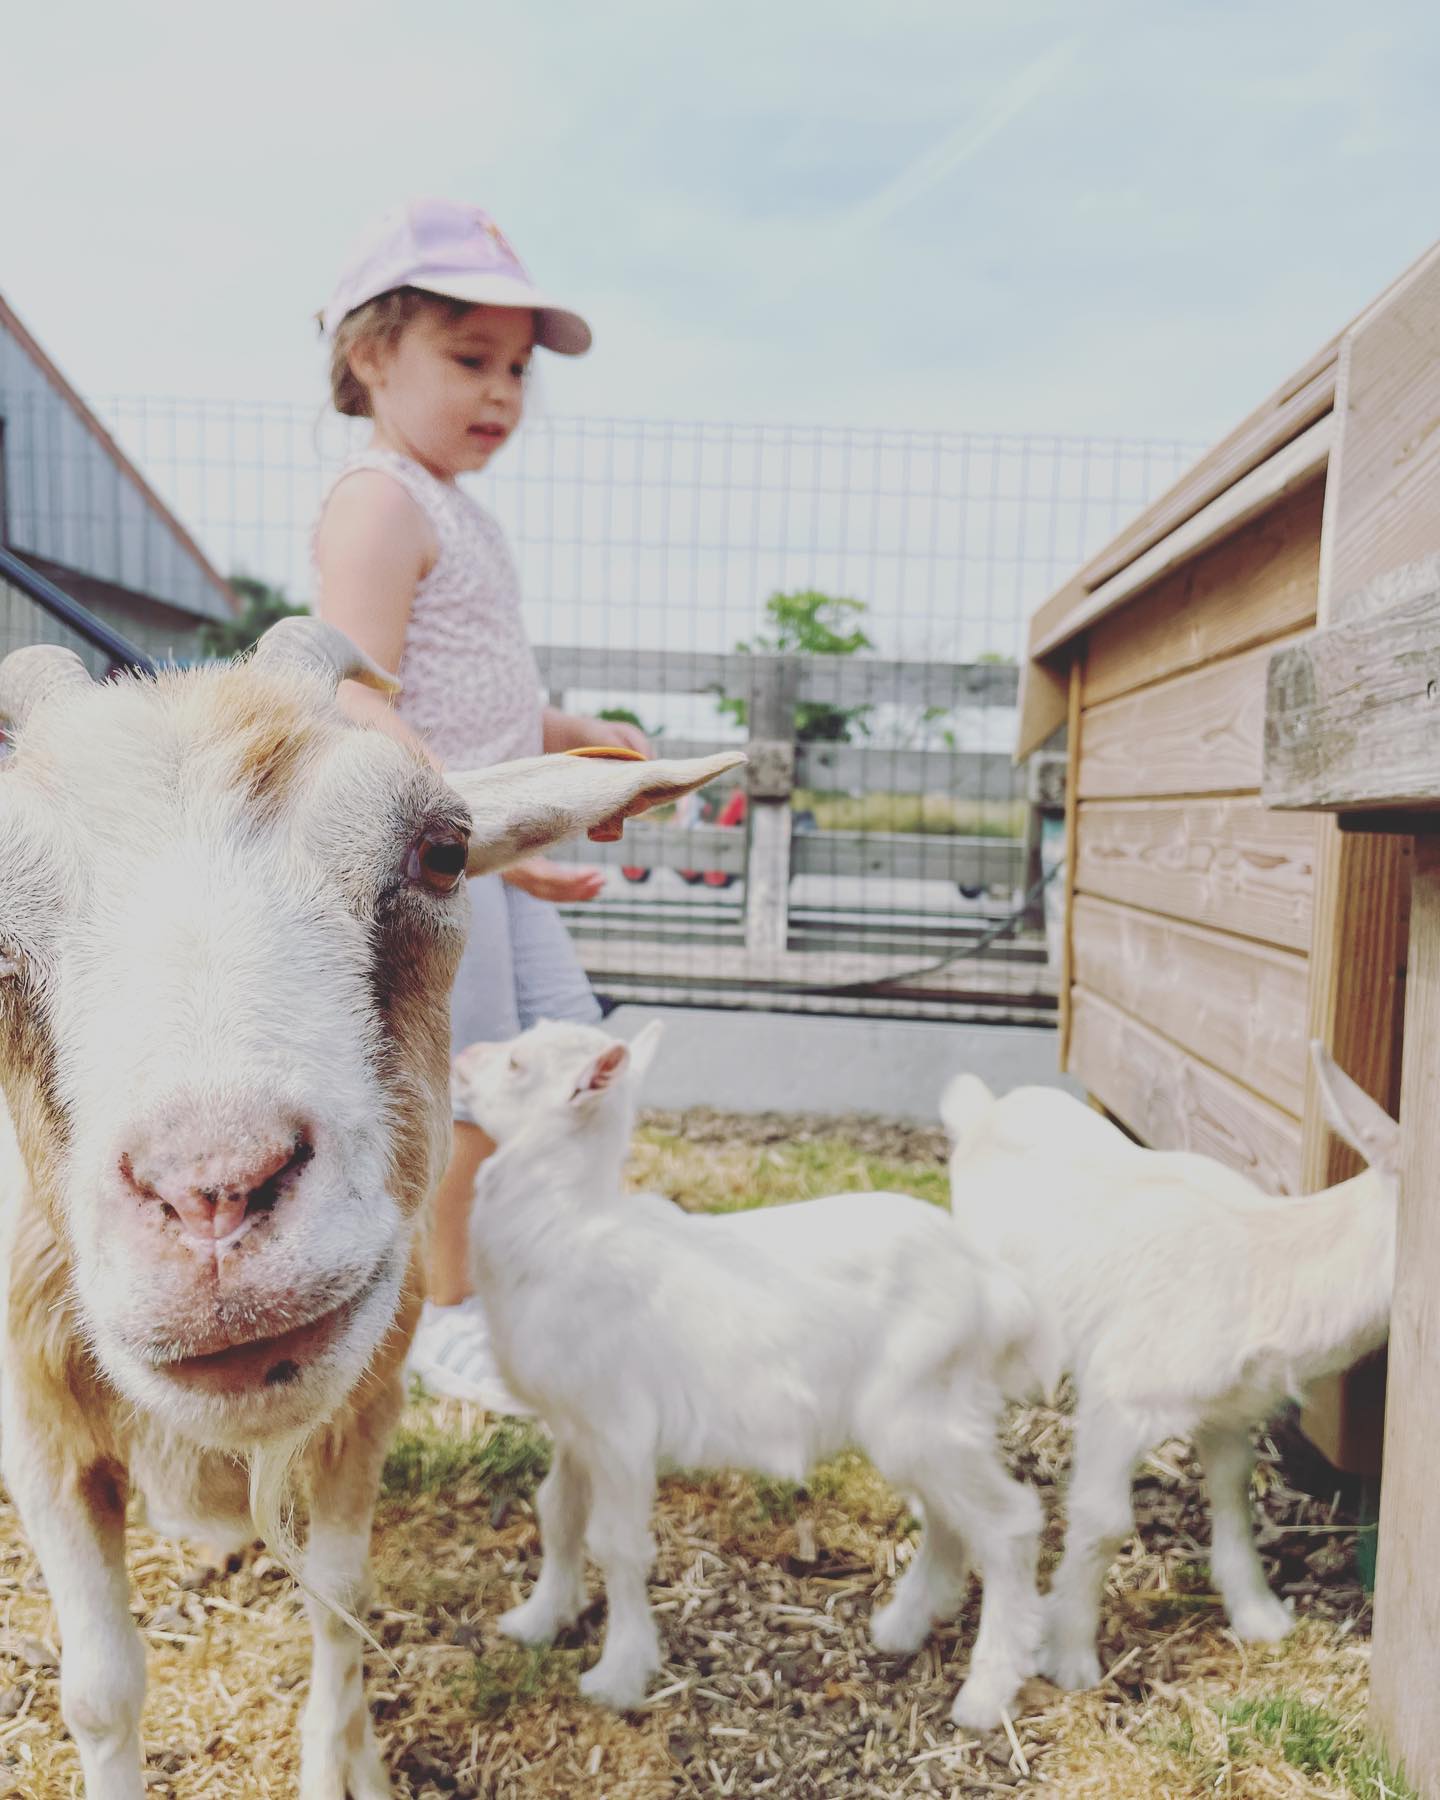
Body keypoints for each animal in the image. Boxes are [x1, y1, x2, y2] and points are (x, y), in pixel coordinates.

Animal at [0, 622, 738, 1800]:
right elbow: (101, 1691)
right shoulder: (37, 1430)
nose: (215, 1192)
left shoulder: (366, 1405)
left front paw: (352, 1766)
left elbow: (340, 1611)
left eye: (442, 851)